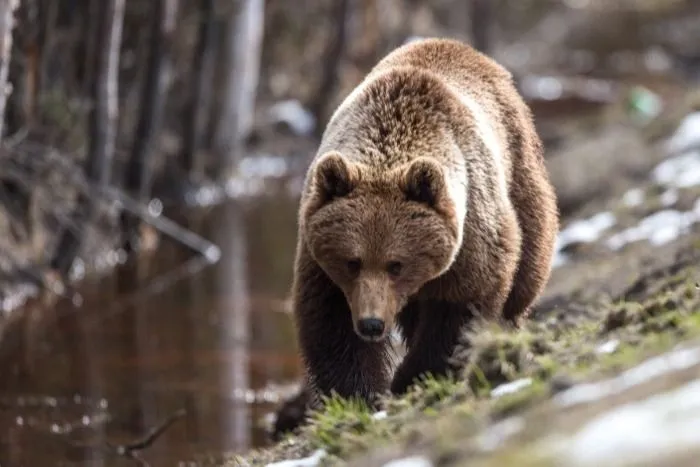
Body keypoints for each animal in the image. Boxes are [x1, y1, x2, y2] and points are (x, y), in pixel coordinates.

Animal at [272, 36, 556, 438]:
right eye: (352, 261)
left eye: (397, 264)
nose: (372, 324)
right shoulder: (321, 260)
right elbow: (331, 324)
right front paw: (361, 394)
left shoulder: (471, 233)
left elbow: (460, 308)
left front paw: (412, 377)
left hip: (519, 167)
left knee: (526, 267)